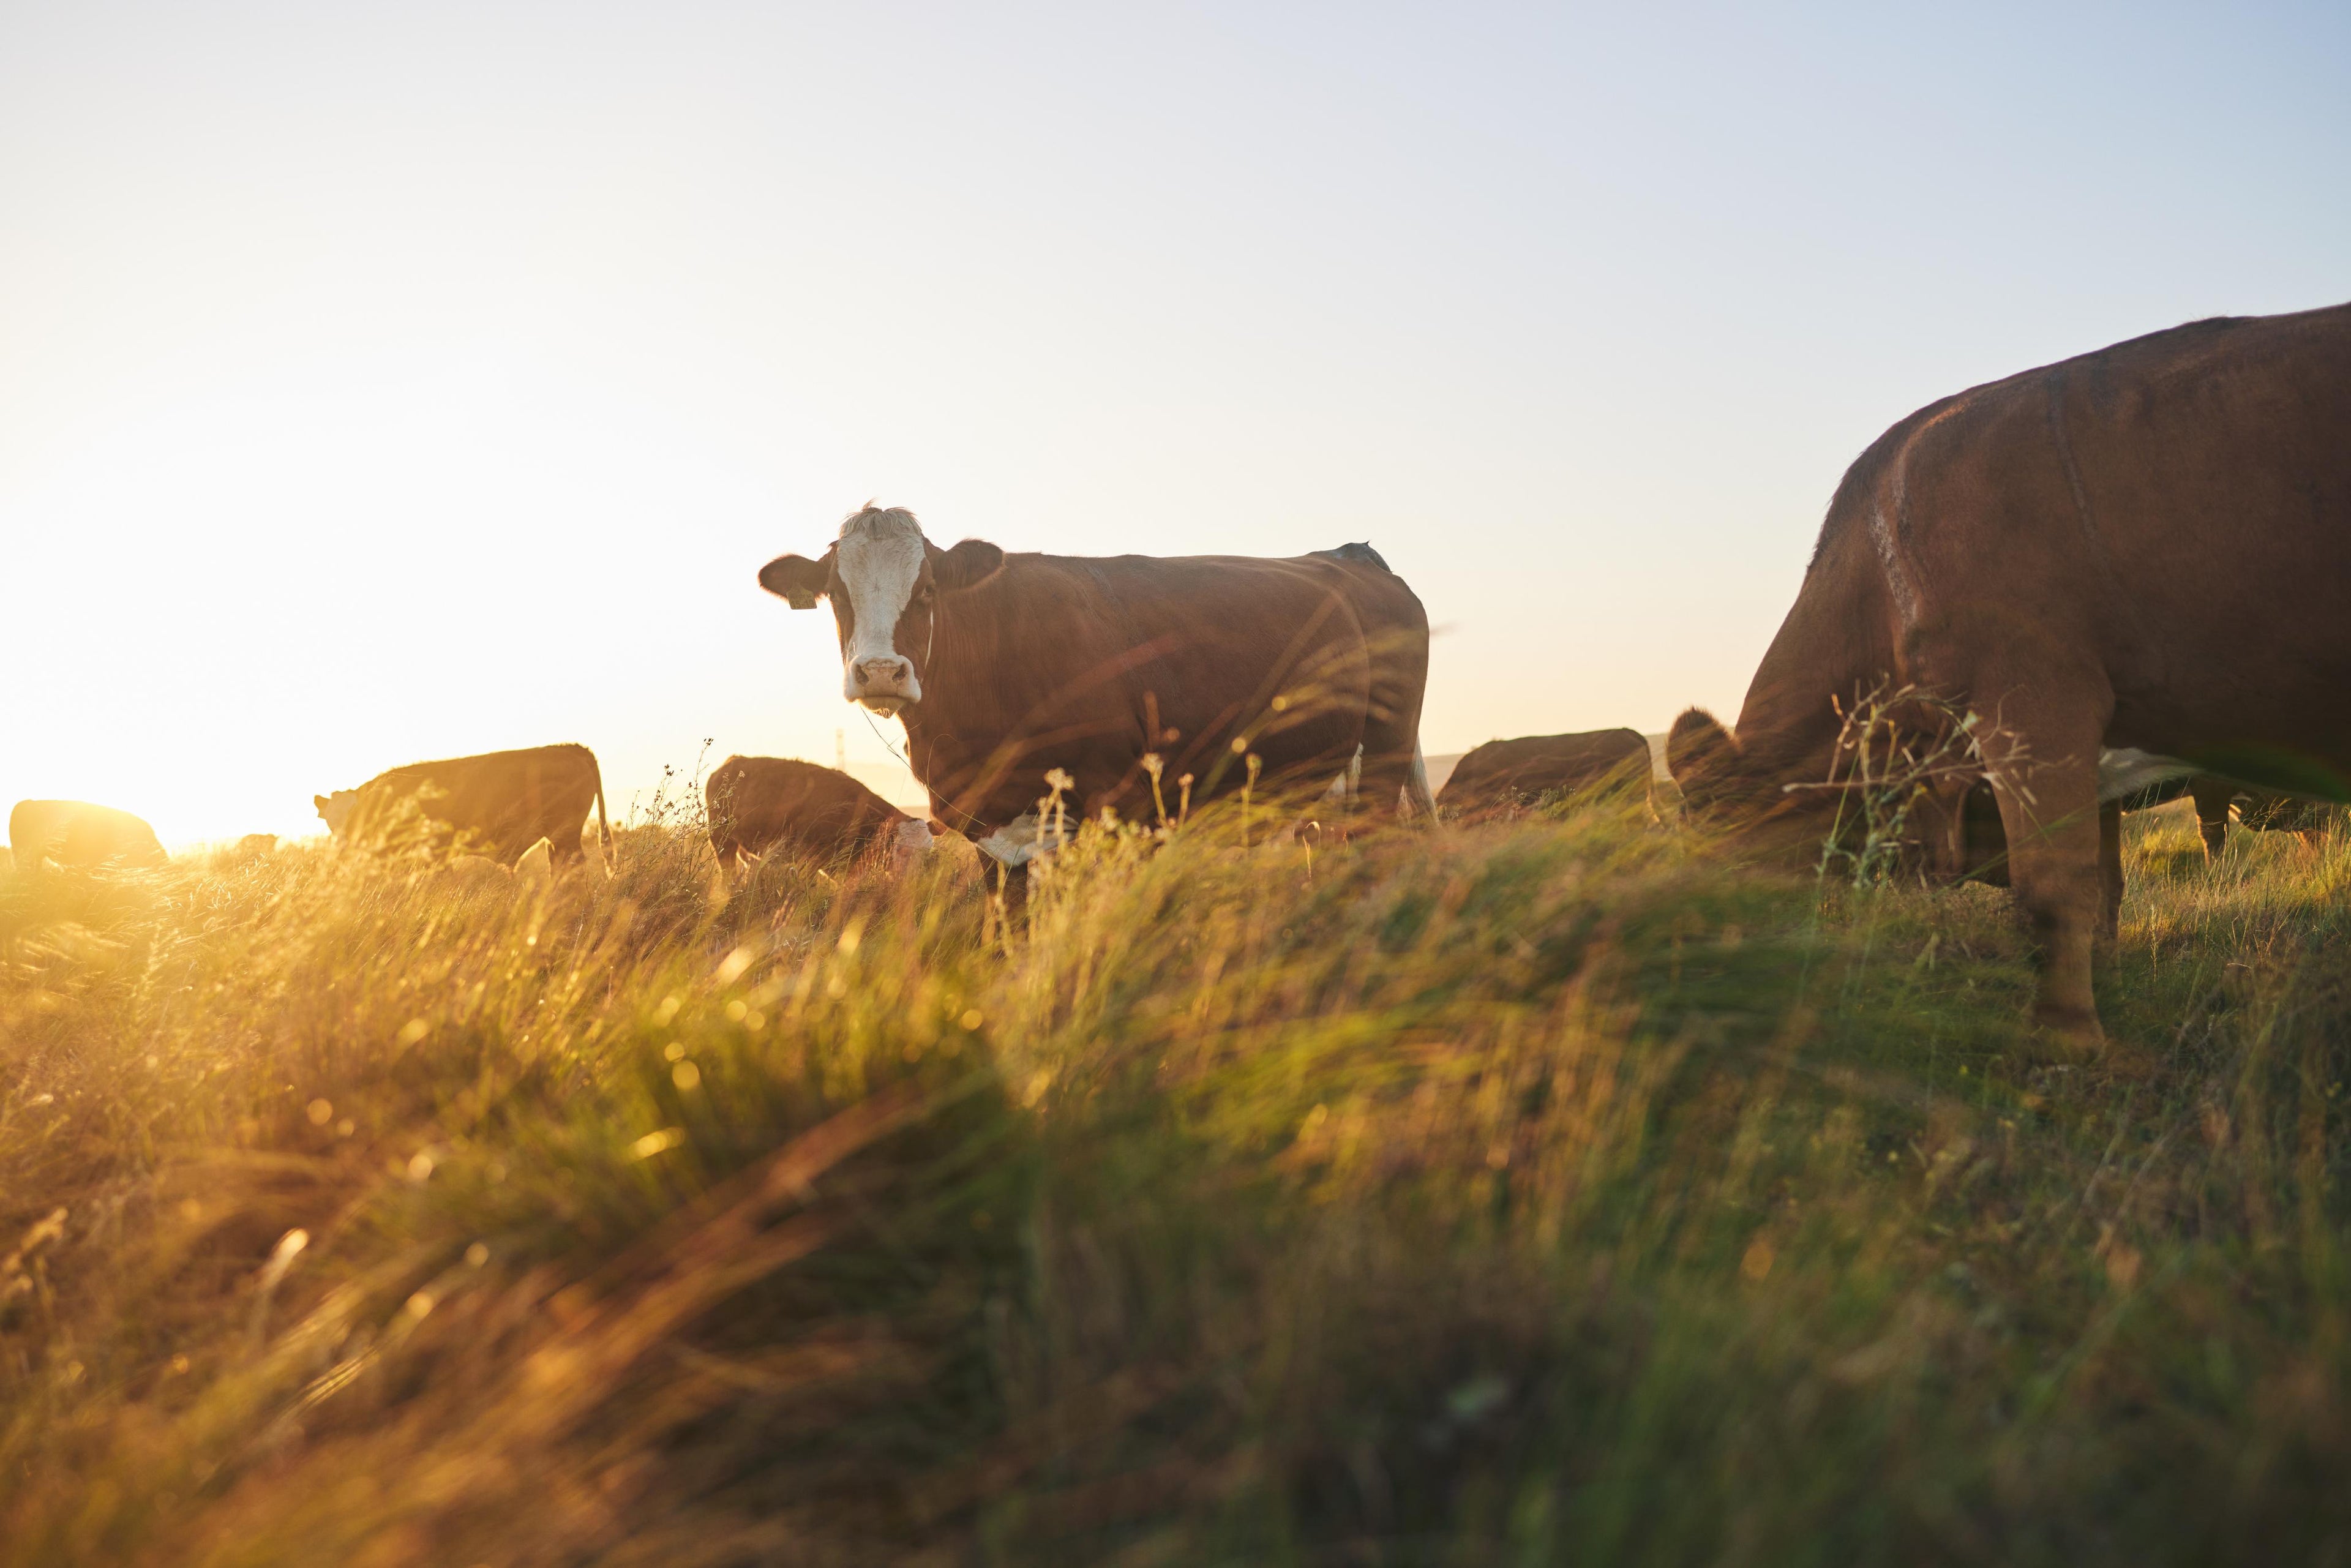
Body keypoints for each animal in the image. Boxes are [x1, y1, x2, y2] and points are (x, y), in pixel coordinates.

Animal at [315, 743, 611, 866]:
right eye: (329, 822)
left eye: (357, 815)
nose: (344, 847)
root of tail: (569, 748)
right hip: (557, 837)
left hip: (566, 834)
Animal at [756, 506, 1433, 868]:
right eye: (835, 594)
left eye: (926, 591)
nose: (880, 671)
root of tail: (1347, 556)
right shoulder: (990, 829)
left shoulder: (1120, 810)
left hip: (1385, 759)